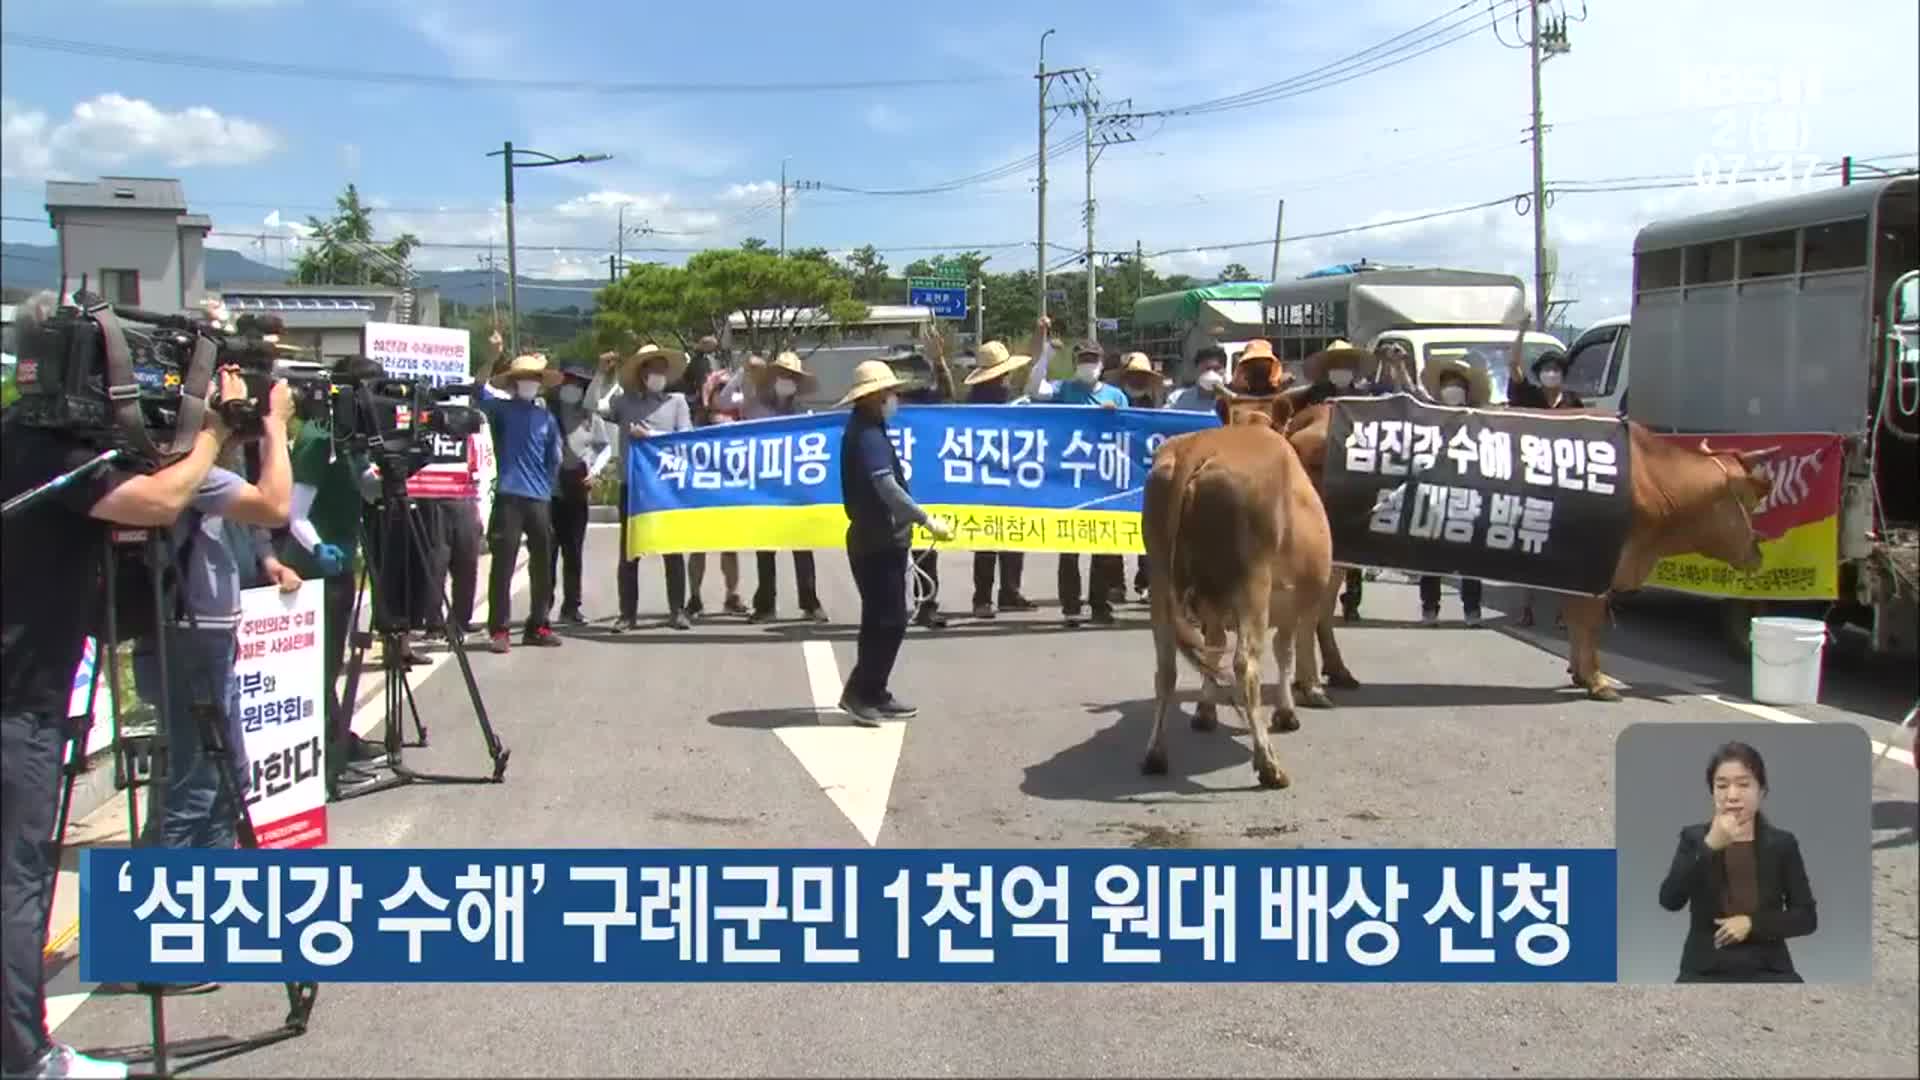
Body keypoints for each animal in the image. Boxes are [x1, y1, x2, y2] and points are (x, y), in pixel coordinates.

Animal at [1136, 420, 1336, 780]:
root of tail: (1201, 447)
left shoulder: (1214, 613)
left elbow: (1213, 650)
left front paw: (1204, 711)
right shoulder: (1292, 607)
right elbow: (1284, 653)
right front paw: (1286, 713)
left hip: (1160, 584)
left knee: (1166, 669)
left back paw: (1155, 754)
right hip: (1252, 587)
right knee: (1246, 665)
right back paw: (1268, 764)